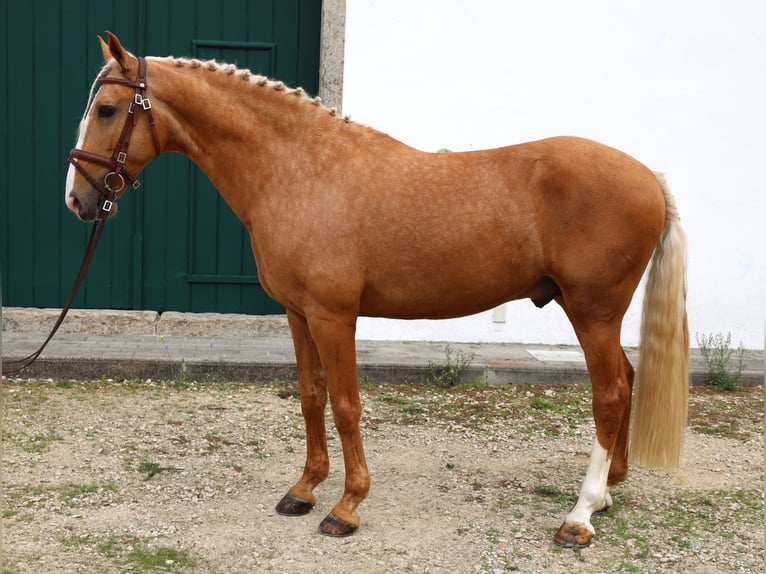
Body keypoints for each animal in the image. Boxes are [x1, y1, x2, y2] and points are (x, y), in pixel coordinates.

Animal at [66, 33, 688, 552]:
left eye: (107, 109)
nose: (78, 199)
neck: (301, 169)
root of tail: (649, 176)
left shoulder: (334, 316)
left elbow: (346, 406)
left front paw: (346, 507)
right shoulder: (298, 314)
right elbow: (311, 395)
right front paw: (303, 489)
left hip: (593, 311)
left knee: (610, 393)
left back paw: (579, 515)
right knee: (626, 378)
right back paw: (608, 492)